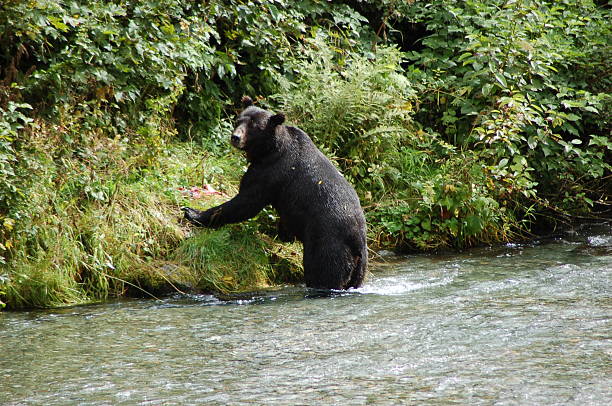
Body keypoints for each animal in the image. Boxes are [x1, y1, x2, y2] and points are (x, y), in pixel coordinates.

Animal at [179, 96, 366, 290]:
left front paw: (193, 213)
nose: (235, 137)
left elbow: (246, 202)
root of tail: (357, 242)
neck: (268, 150)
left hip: (327, 244)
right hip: (359, 268)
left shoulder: (271, 172)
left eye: (254, 126)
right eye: (239, 120)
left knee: (321, 272)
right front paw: (284, 234)